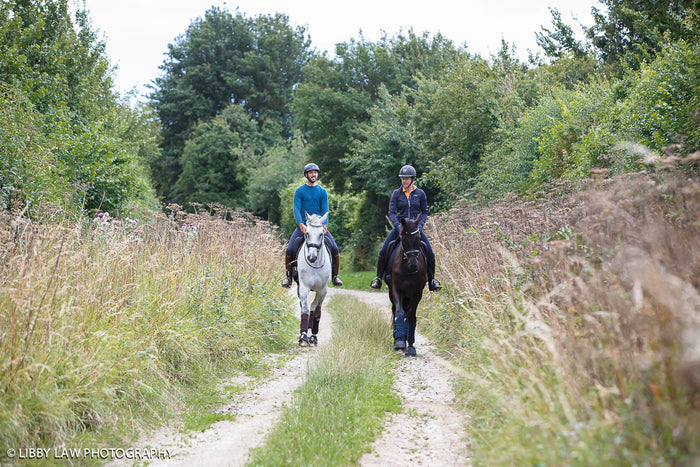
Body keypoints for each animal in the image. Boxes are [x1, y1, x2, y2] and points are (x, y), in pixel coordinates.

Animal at [295, 212, 332, 347]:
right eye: (307, 233)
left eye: (321, 234)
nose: (311, 257)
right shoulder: (304, 287)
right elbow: (305, 309)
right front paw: (303, 336)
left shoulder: (322, 290)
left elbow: (315, 311)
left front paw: (313, 337)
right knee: (304, 306)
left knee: (315, 308)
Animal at [385, 215, 428, 356]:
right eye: (403, 239)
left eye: (418, 238)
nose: (413, 265)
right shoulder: (396, 290)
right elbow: (399, 312)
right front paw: (399, 343)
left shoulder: (417, 293)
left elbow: (410, 316)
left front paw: (410, 347)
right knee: (395, 310)